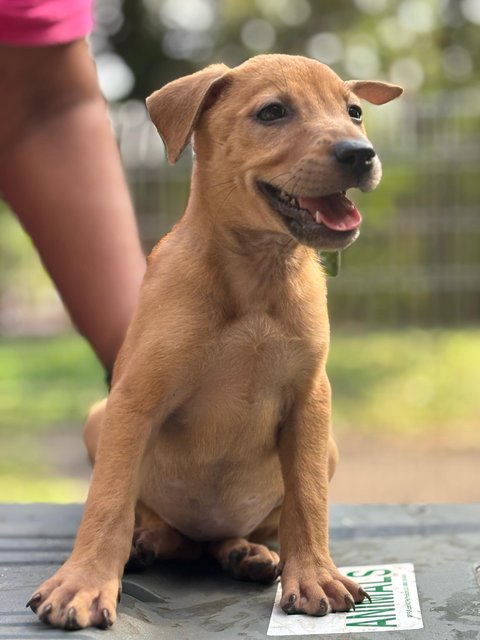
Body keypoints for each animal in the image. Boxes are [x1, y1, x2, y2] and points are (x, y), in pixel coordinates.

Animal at [26, 56, 402, 632]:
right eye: (272, 112)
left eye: (354, 112)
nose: (360, 154)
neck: (257, 274)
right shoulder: (134, 399)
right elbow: (108, 501)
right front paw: (83, 583)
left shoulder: (310, 400)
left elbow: (307, 497)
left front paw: (314, 575)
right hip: (100, 418)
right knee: (157, 524)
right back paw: (147, 542)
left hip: (326, 450)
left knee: (234, 534)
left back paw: (247, 553)